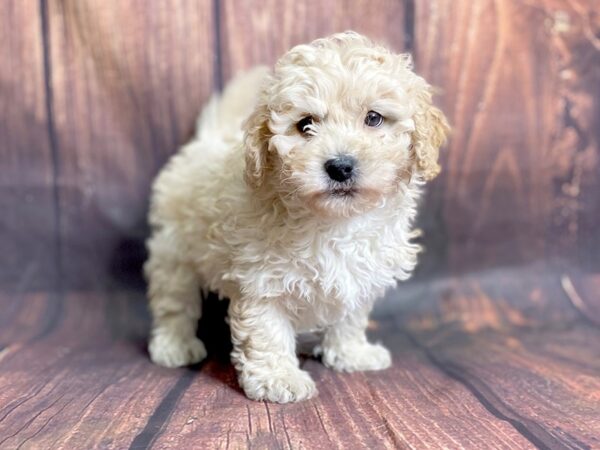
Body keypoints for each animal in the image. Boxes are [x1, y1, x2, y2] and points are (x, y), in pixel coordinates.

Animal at [144, 32, 446, 404]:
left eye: (374, 118)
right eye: (305, 125)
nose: (340, 166)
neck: (334, 221)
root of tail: (204, 142)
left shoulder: (360, 274)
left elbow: (350, 318)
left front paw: (352, 354)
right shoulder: (261, 281)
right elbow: (268, 332)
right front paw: (279, 378)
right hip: (175, 252)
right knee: (174, 302)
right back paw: (175, 345)